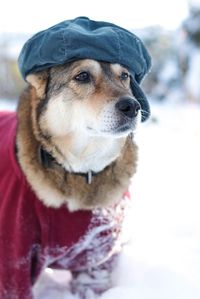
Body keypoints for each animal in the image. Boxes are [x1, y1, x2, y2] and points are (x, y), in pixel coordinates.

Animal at [0, 59, 142, 298]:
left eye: (124, 76)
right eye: (82, 76)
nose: (132, 106)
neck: (82, 171)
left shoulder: (98, 255)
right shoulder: (14, 258)